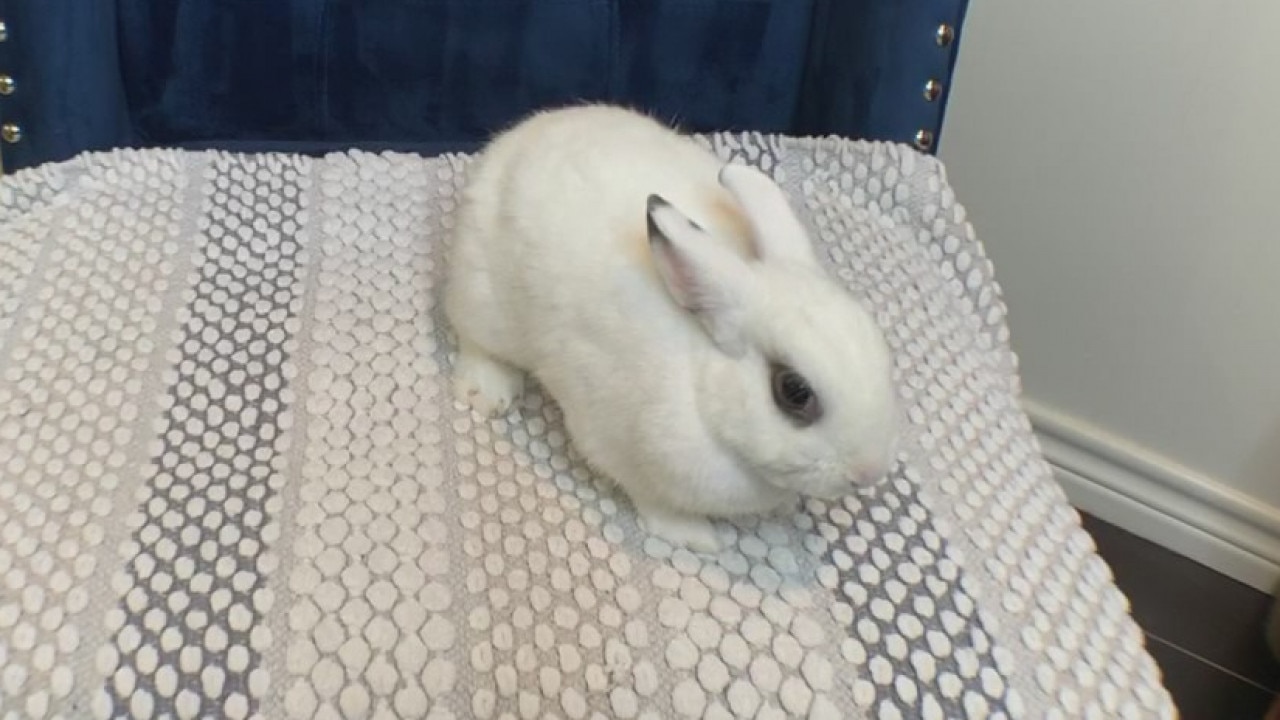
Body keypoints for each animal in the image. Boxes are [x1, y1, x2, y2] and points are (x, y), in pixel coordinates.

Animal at [444, 104, 899, 552]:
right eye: (794, 391)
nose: (869, 472)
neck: (702, 390)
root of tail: (524, 133)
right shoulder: (614, 443)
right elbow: (652, 500)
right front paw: (695, 537)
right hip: (482, 296)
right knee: (476, 340)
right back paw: (488, 393)